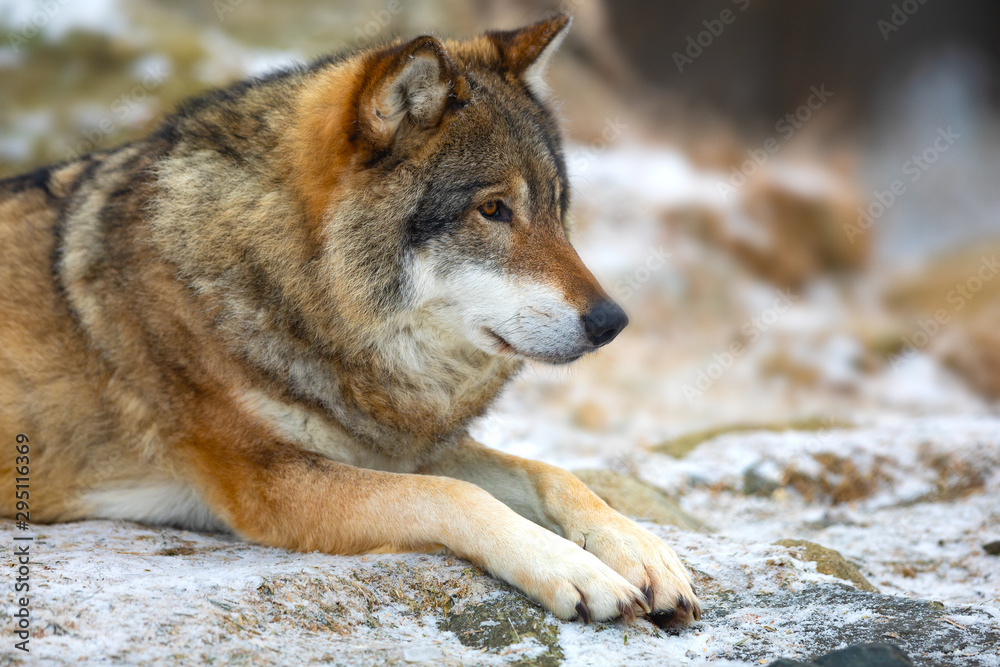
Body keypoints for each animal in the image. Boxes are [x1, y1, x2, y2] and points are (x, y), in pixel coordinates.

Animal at [0, 14, 700, 625]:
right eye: (493, 209)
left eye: (557, 208)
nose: (612, 322)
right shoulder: (270, 483)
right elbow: (454, 495)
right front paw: (575, 571)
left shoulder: (394, 448)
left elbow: (554, 474)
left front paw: (642, 552)